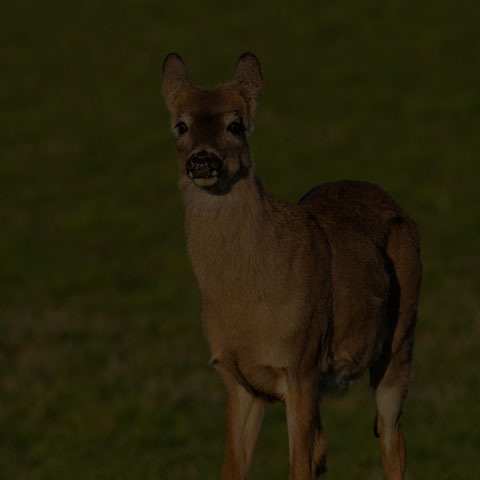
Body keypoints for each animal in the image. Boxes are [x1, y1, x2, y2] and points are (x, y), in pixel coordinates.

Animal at [161, 50, 420, 478]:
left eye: (236, 124)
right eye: (180, 125)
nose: (202, 160)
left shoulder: (301, 364)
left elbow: (298, 466)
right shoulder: (238, 379)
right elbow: (235, 468)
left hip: (400, 341)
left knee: (392, 440)